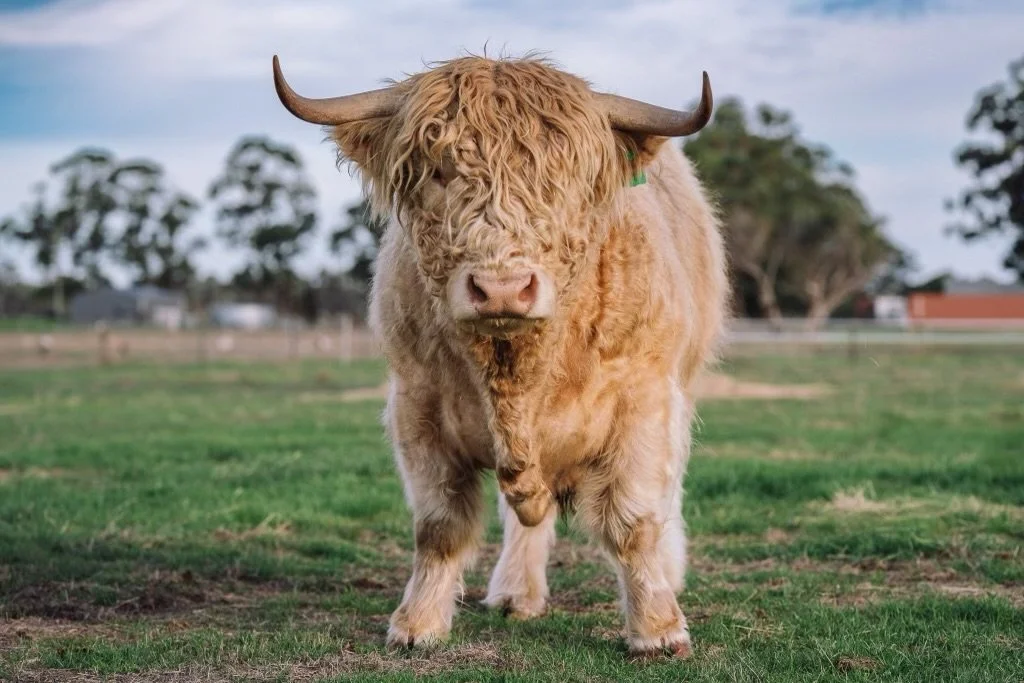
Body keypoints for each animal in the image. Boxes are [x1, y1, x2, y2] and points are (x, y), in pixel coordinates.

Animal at [272, 52, 729, 658]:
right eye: (440, 171)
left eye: (563, 179)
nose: (503, 289)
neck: (515, 372)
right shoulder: (417, 406)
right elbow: (440, 527)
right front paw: (417, 623)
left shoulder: (643, 401)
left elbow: (633, 522)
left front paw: (657, 628)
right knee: (525, 517)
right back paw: (516, 592)